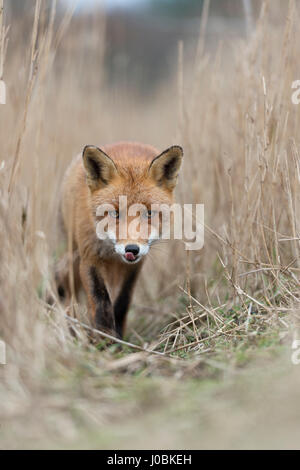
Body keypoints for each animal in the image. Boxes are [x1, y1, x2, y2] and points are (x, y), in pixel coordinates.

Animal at [56, 141, 183, 340]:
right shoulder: (89, 258)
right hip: (72, 254)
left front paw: (116, 338)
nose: (131, 249)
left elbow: (122, 301)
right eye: (115, 213)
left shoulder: (134, 267)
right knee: (64, 284)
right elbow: (100, 301)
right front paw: (104, 339)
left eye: (149, 213)